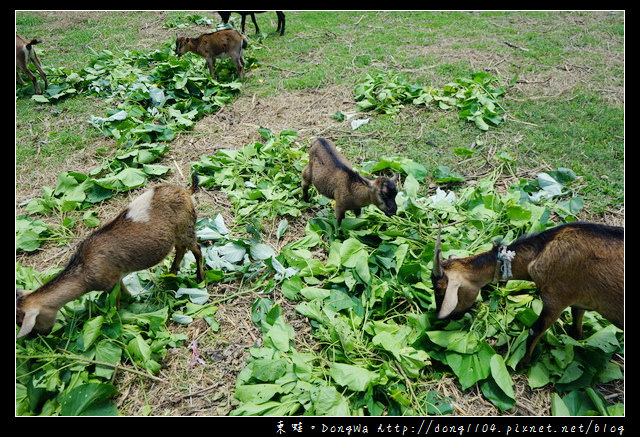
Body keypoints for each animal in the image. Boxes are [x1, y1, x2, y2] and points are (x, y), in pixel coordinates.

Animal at [15, 175, 205, 338]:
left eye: (21, 321)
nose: (36, 336)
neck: (83, 269)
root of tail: (186, 191)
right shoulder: (117, 277)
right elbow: (126, 294)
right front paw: (133, 302)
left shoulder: (110, 283)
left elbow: (116, 304)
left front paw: (117, 319)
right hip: (179, 233)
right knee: (180, 249)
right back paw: (172, 273)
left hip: (186, 227)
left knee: (197, 249)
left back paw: (200, 278)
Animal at [432, 221, 624, 362]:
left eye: (440, 291)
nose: (442, 318)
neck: (542, 250)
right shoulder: (580, 300)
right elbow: (576, 324)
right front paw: (576, 340)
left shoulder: (556, 299)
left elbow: (535, 330)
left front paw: (524, 363)